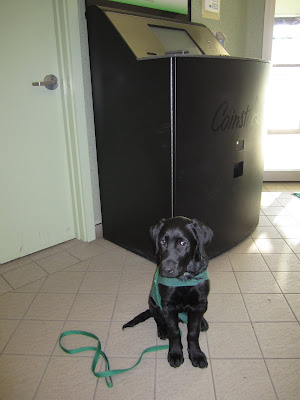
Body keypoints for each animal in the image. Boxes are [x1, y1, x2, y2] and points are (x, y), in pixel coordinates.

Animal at [122, 217, 213, 368]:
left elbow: (193, 332)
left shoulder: (200, 303)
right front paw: (175, 353)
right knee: (158, 318)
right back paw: (162, 330)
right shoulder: (168, 306)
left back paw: (202, 322)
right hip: (153, 302)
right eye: (163, 242)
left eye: (183, 243)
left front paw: (196, 354)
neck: (184, 278)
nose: (166, 270)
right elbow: (174, 331)